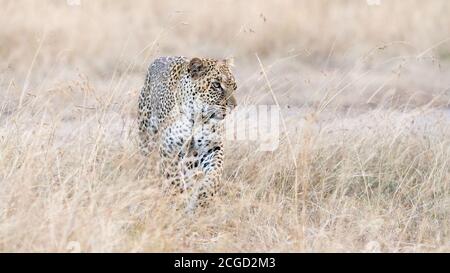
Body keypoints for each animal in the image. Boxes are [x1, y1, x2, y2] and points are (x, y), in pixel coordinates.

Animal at [137, 55, 237, 212]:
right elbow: (173, 177)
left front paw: (204, 197)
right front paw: (178, 198)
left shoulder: (213, 147)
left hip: (192, 157)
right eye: (216, 85)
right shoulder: (168, 148)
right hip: (146, 133)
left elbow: (214, 174)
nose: (234, 106)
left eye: (234, 86)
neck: (197, 118)